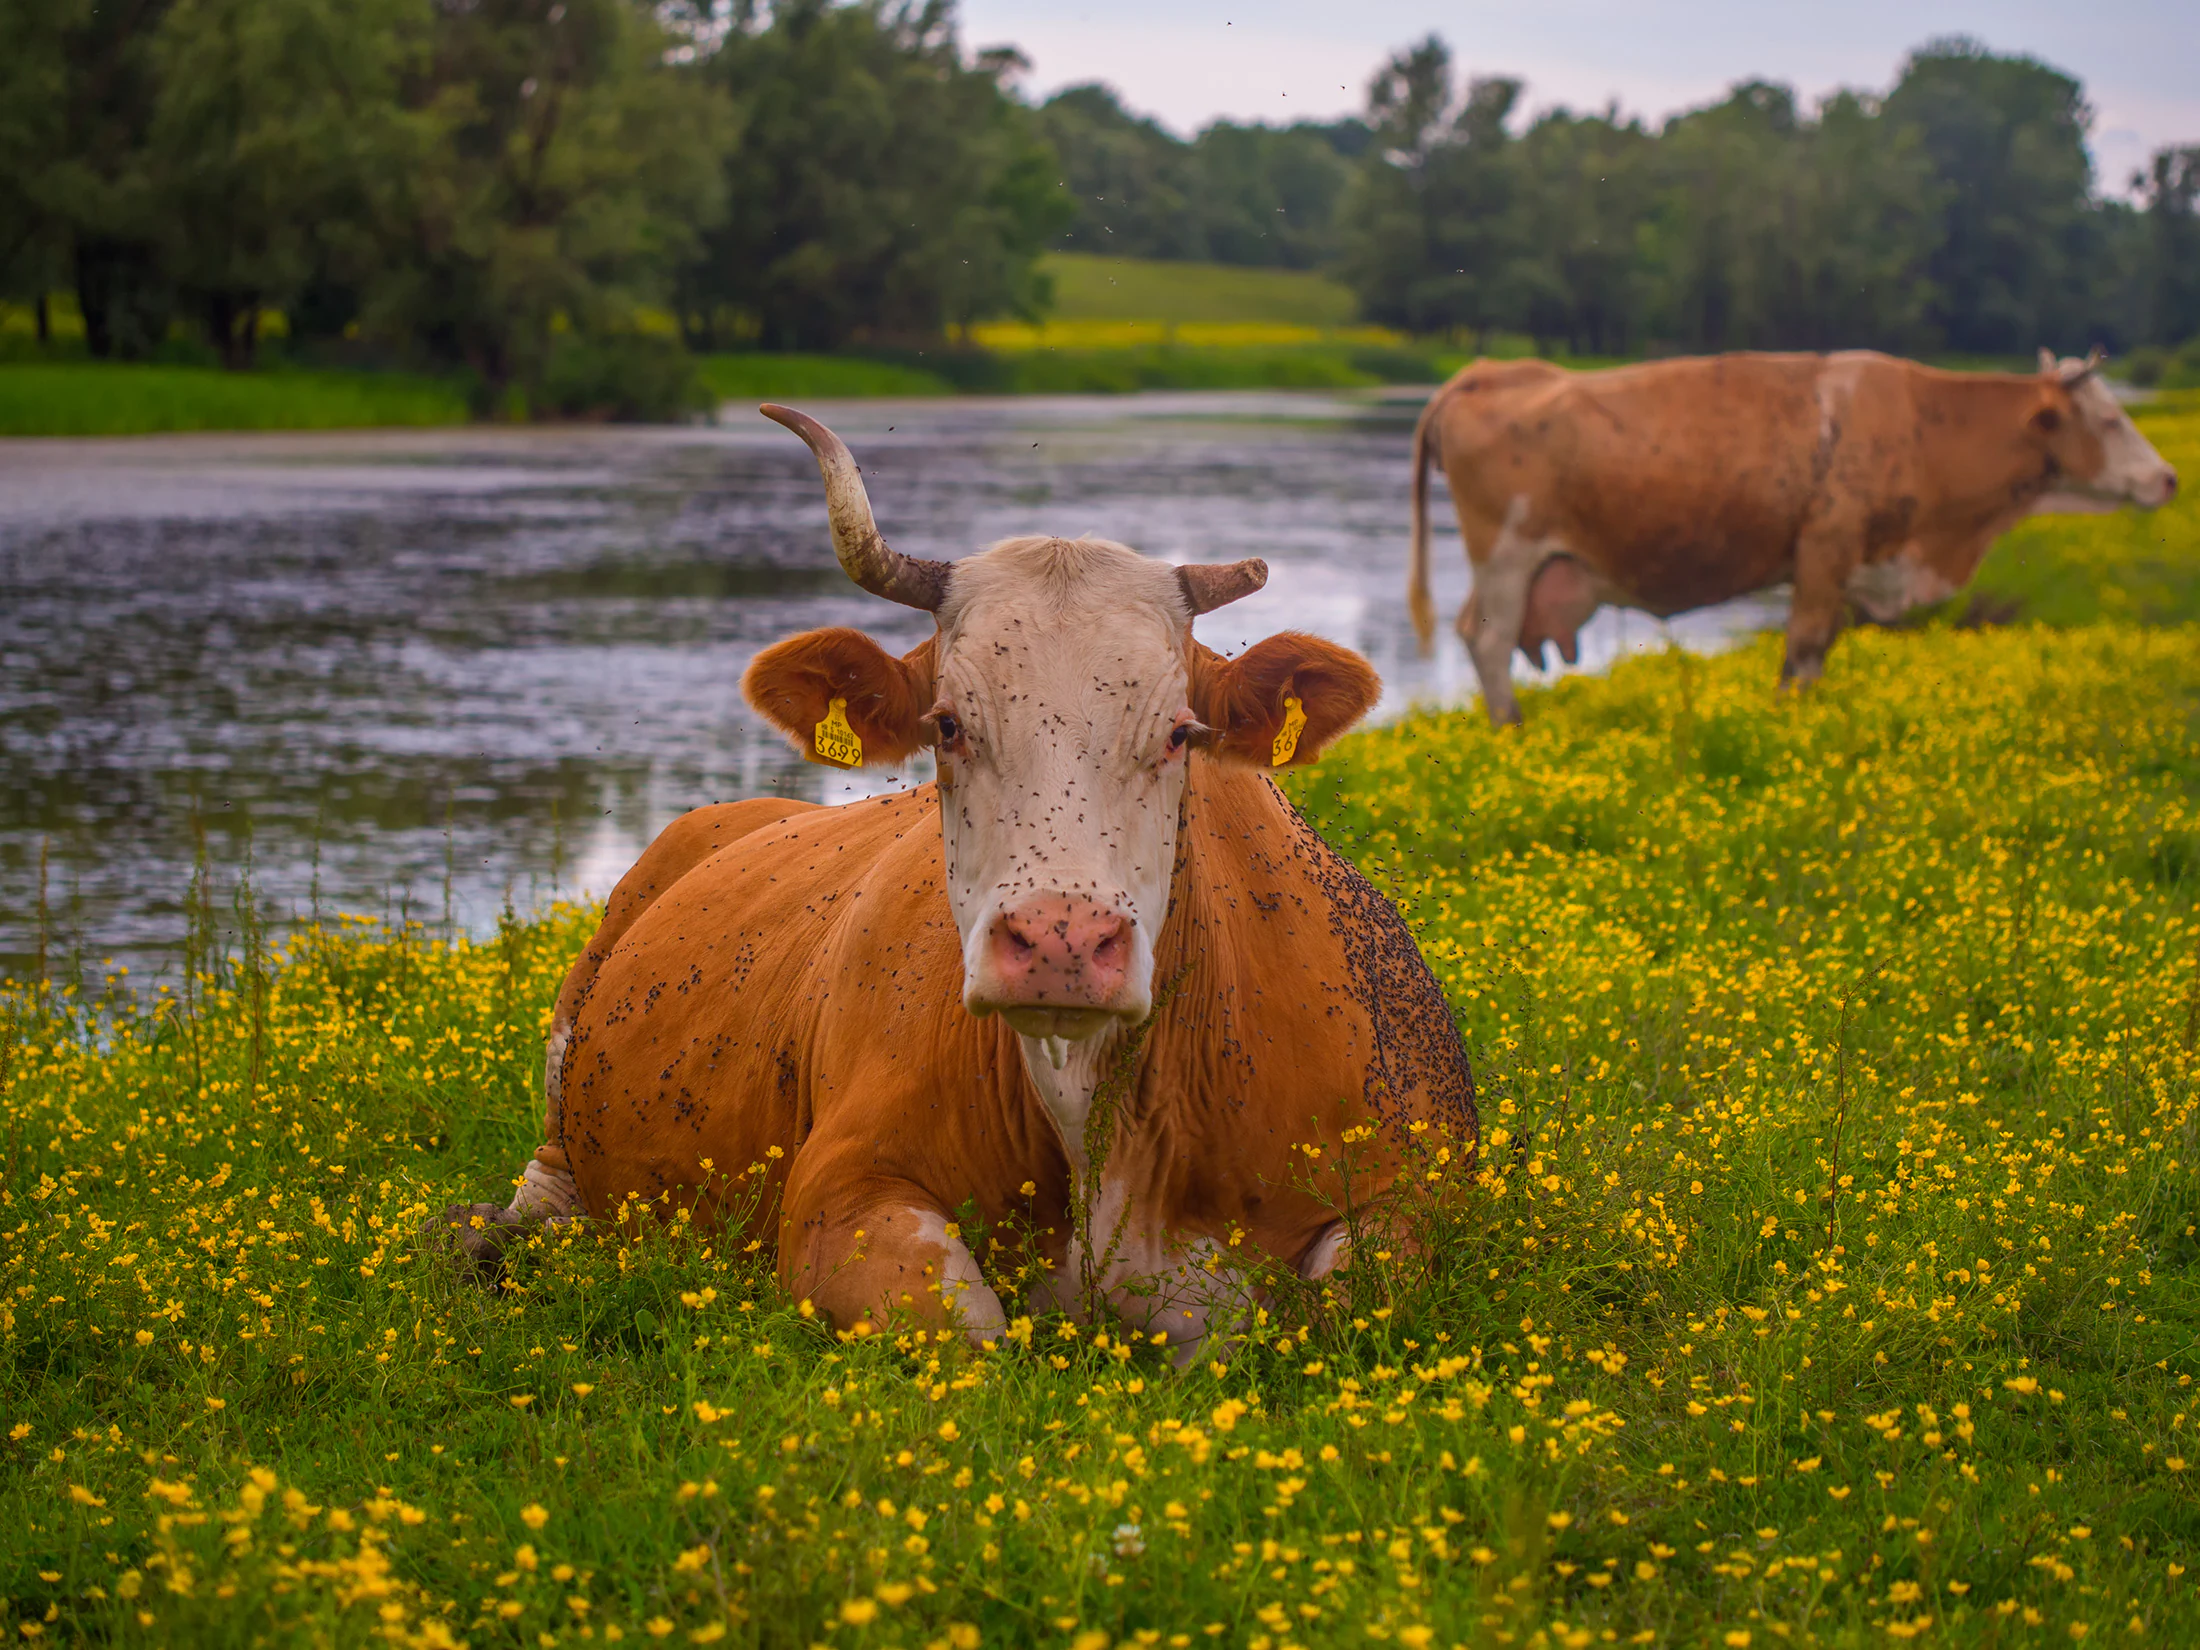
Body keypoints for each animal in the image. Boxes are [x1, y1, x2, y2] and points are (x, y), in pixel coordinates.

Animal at [435, 405, 1478, 1348]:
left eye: (1181, 732)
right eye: (946, 723)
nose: (1060, 943)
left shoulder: (1413, 1196)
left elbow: (1322, 1311)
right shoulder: (838, 1192)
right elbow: (971, 1333)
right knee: (545, 1191)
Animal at [1407, 348, 2179, 726]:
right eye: (2110, 420)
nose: (2169, 478)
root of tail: (1481, 374)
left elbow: (1818, 653)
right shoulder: (1825, 548)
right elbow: (1802, 648)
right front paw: (1789, 726)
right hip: (1506, 553)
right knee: (1487, 641)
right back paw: (1511, 729)